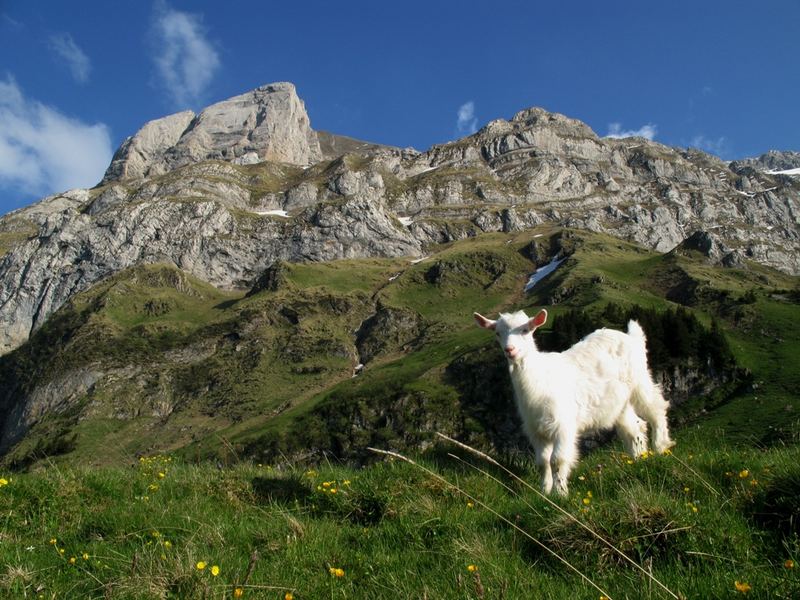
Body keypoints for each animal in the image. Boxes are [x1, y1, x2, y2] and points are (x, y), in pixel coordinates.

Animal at [476, 308, 676, 494]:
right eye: (497, 333)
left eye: (525, 330)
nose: (510, 350)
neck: (540, 378)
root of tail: (631, 337)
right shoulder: (536, 431)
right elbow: (542, 462)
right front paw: (544, 491)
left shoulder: (563, 425)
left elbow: (556, 460)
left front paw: (560, 493)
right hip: (619, 402)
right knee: (634, 427)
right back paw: (638, 458)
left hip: (640, 380)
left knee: (656, 408)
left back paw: (660, 446)